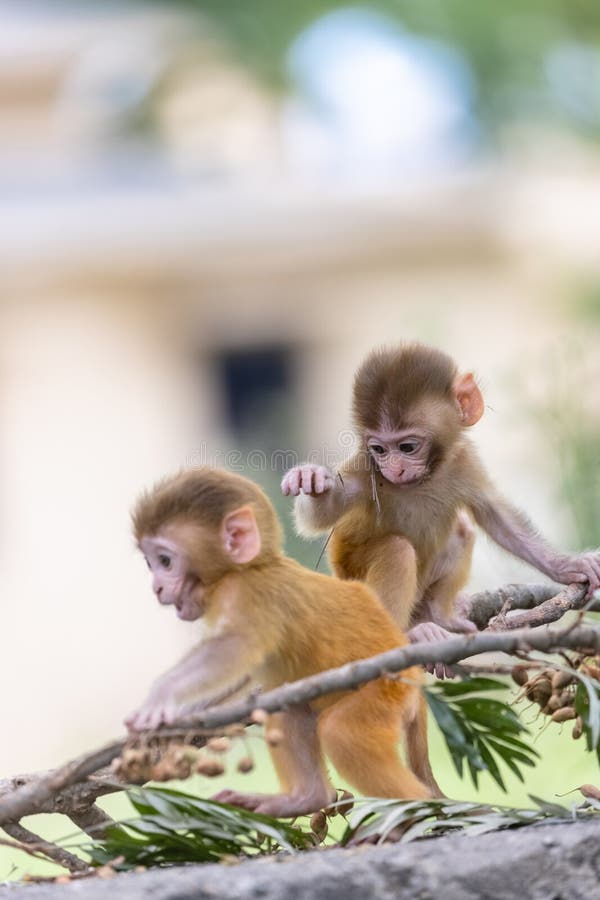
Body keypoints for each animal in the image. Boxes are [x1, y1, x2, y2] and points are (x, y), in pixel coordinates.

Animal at [125, 467, 441, 817]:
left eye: (165, 561)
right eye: (150, 563)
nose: (157, 587)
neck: (245, 569)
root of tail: (414, 682)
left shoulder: (250, 594)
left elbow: (236, 647)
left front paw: (159, 698)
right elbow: (242, 675)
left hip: (387, 692)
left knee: (341, 733)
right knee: (289, 701)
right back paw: (305, 798)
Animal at [282, 343, 600, 660]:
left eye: (407, 447)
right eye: (379, 449)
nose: (394, 469)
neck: (425, 479)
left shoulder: (464, 460)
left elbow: (497, 518)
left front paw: (567, 566)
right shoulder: (364, 469)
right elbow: (320, 517)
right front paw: (310, 480)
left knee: (462, 530)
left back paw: (439, 616)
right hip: (353, 580)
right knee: (397, 551)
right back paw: (408, 634)